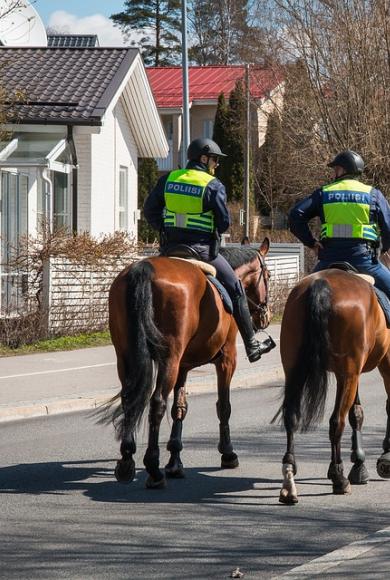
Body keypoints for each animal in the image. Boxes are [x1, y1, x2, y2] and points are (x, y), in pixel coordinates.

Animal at [106, 238, 272, 488]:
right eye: (268, 275)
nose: (265, 317)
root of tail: (144, 269)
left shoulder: (183, 367)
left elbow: (179, 408)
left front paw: (175, 460)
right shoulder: (227, 359)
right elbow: (224, 406)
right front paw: (228, 453)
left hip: (126, 357)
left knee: (130, 400)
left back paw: (126, 461)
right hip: (170, 359)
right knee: (157, 402)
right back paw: (153, 469)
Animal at [276, 270, 390, 506]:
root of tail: (320, 285)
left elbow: (357, 413)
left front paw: (359, 465)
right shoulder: (383, 363)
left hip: (295, 368)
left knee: (291, 416)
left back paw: (289, 482)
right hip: (349, 373)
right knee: (336, 422)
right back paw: (339, 478)